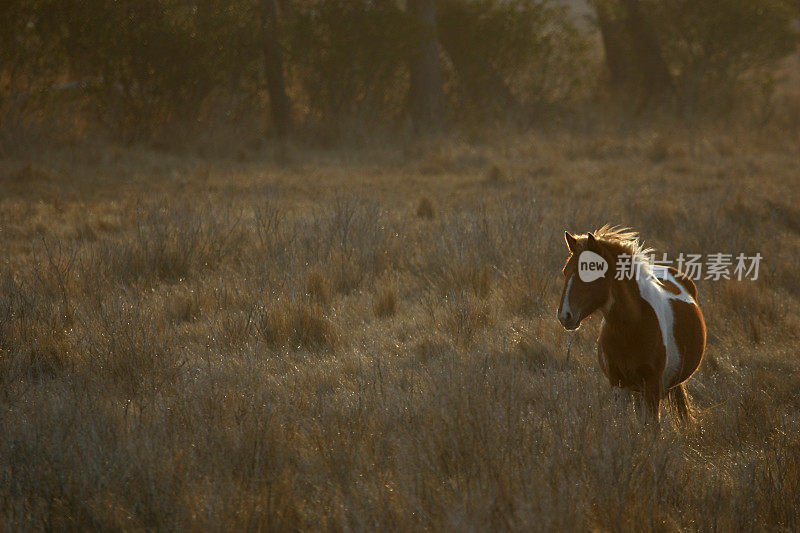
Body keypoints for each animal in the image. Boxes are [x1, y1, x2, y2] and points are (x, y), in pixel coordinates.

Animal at [556, 224, 708, 420]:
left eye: (591, 270)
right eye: (565, 271)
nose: (564, 316)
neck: (630, 328)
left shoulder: (652, 386)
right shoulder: (619, 385)